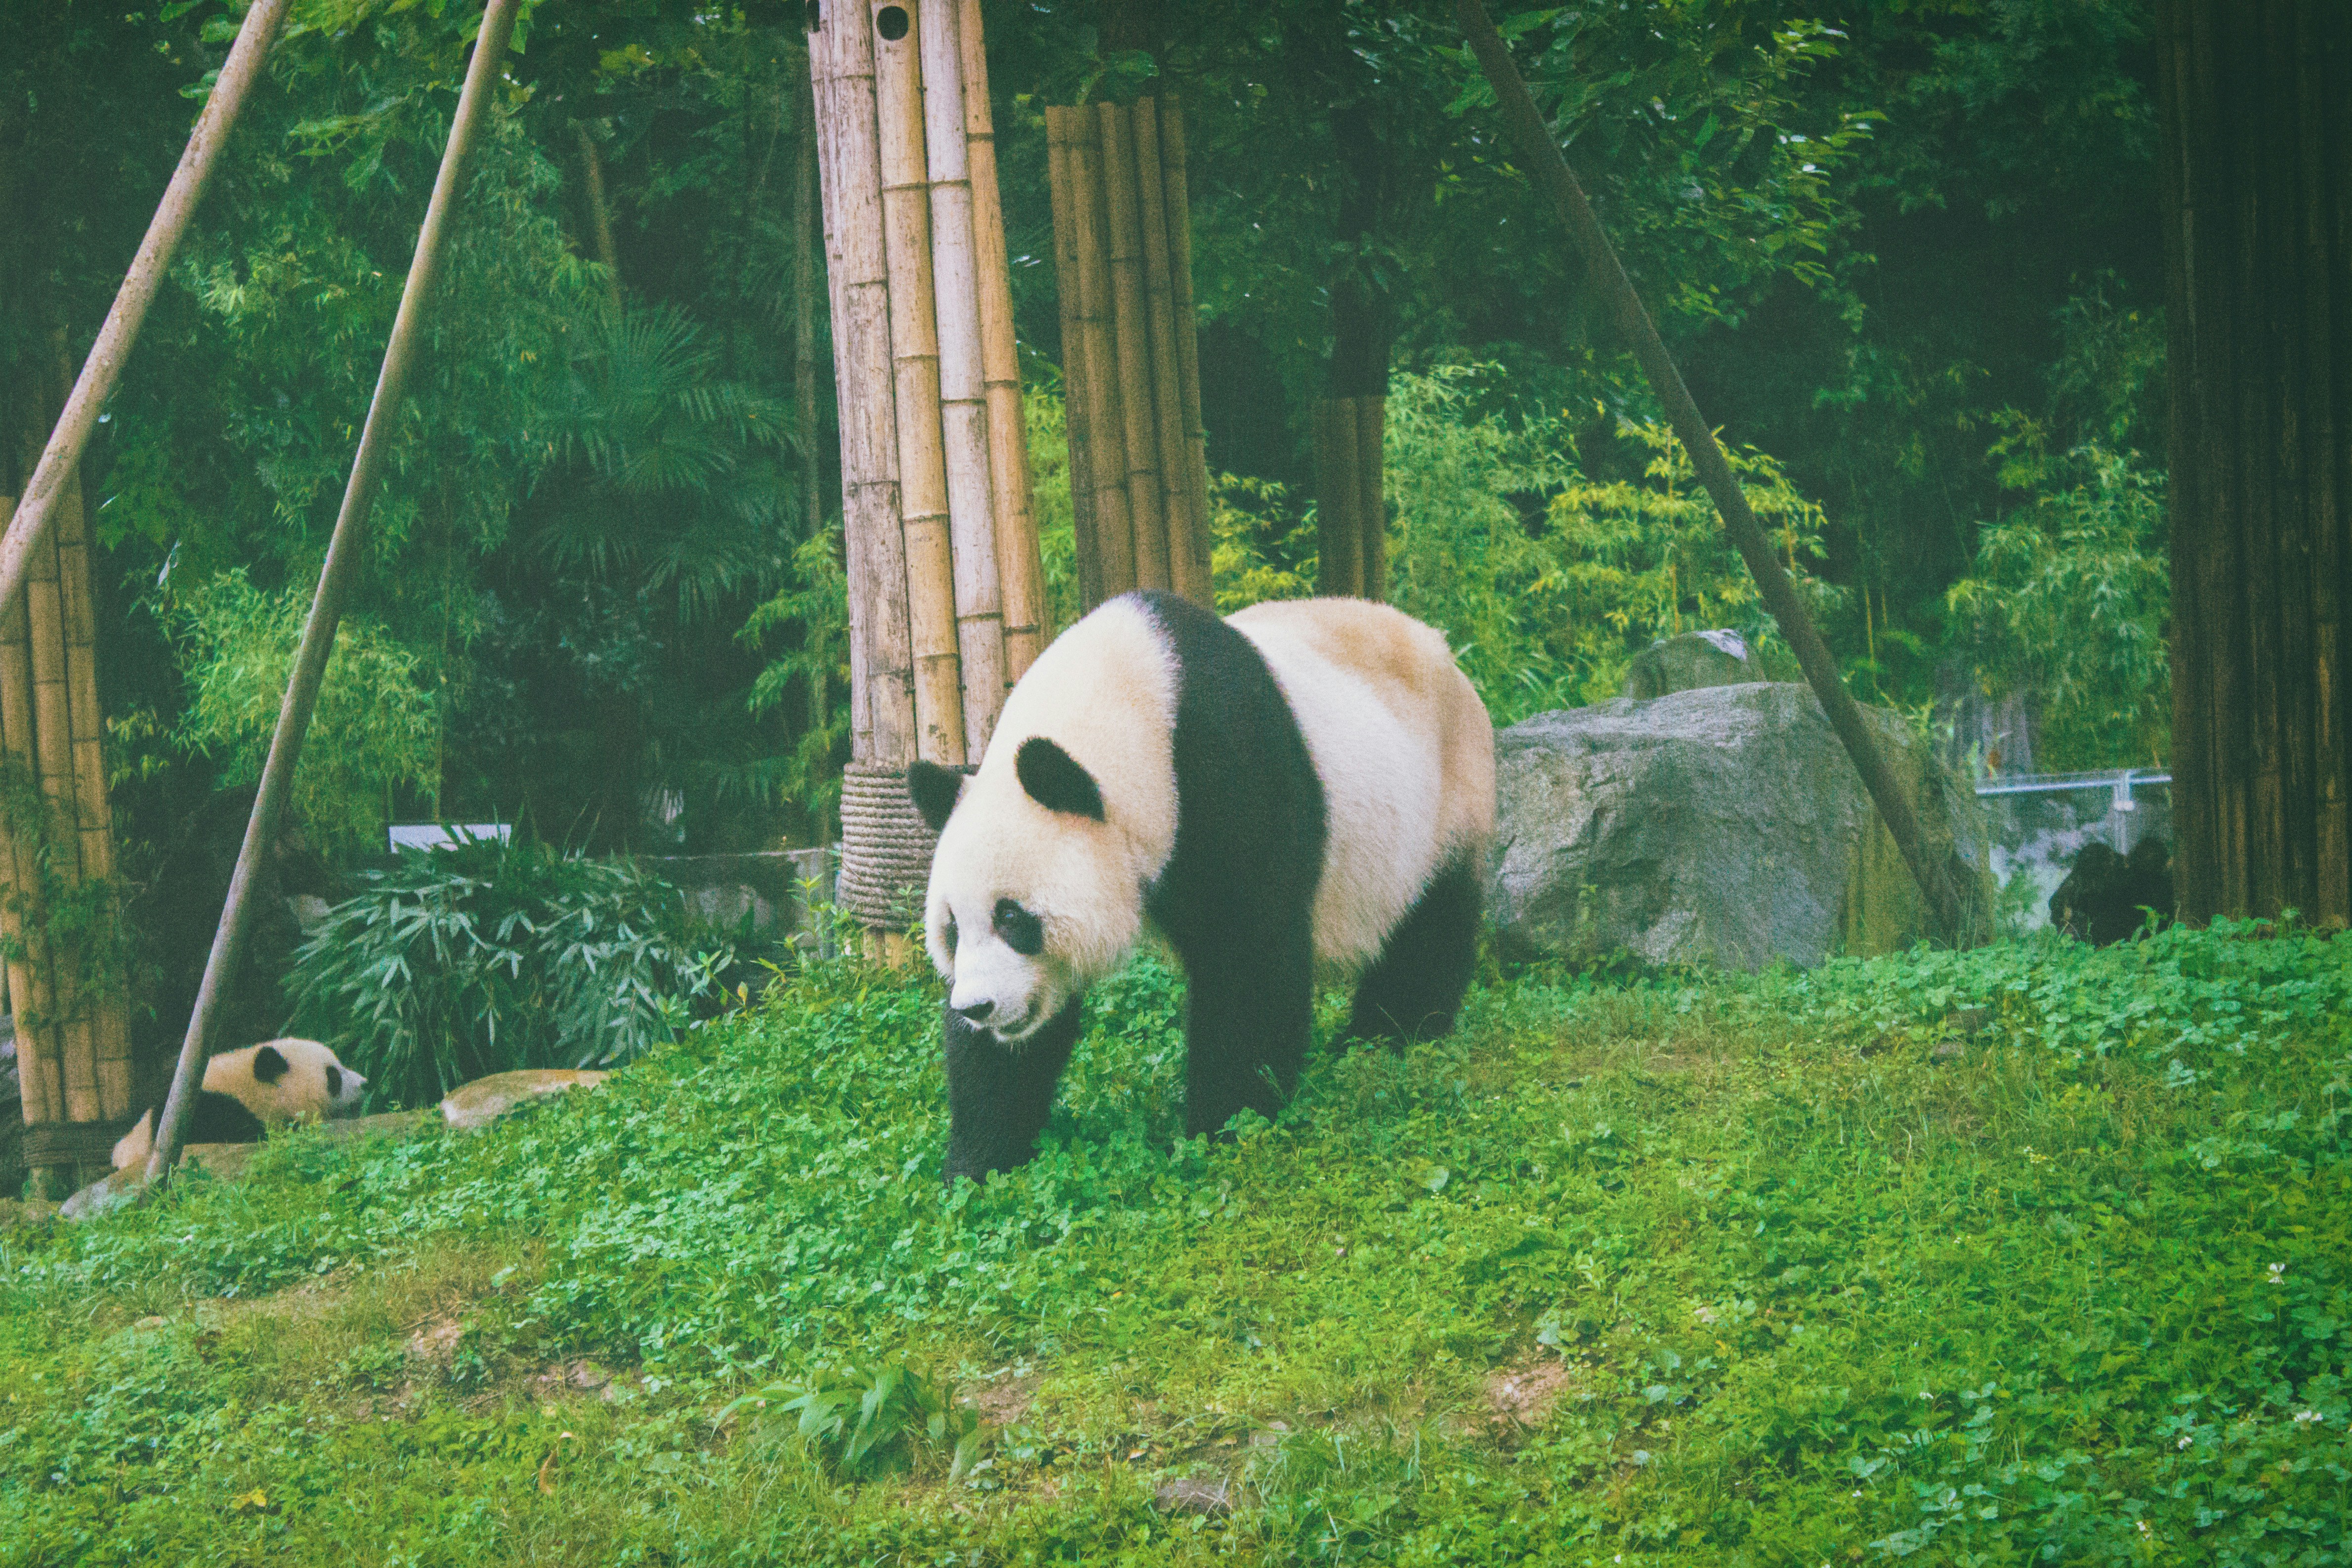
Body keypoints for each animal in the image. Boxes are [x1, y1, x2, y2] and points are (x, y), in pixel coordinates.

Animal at [908, 589, 1495, 1181]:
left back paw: (1389, 1034)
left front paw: (1223, 1128)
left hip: (1446, 796)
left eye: (1012, 917)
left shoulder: (1226, 767)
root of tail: (1445, 650)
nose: (979, 1008)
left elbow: (1248, 956)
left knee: (1428, 929)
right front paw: (980, 1162)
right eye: (952, 928)